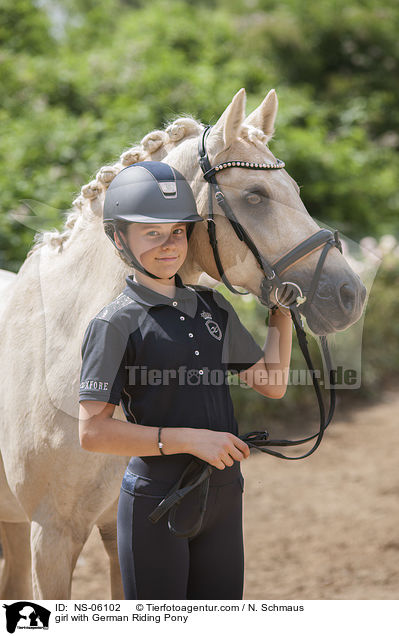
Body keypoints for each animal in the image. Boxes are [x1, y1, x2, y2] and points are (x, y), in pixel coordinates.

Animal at [0, 89, 368, 600]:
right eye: (255, 196)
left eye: (294, 189)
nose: (349, 295)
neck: (61, 350)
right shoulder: (51, 540)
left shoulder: (116, 533)